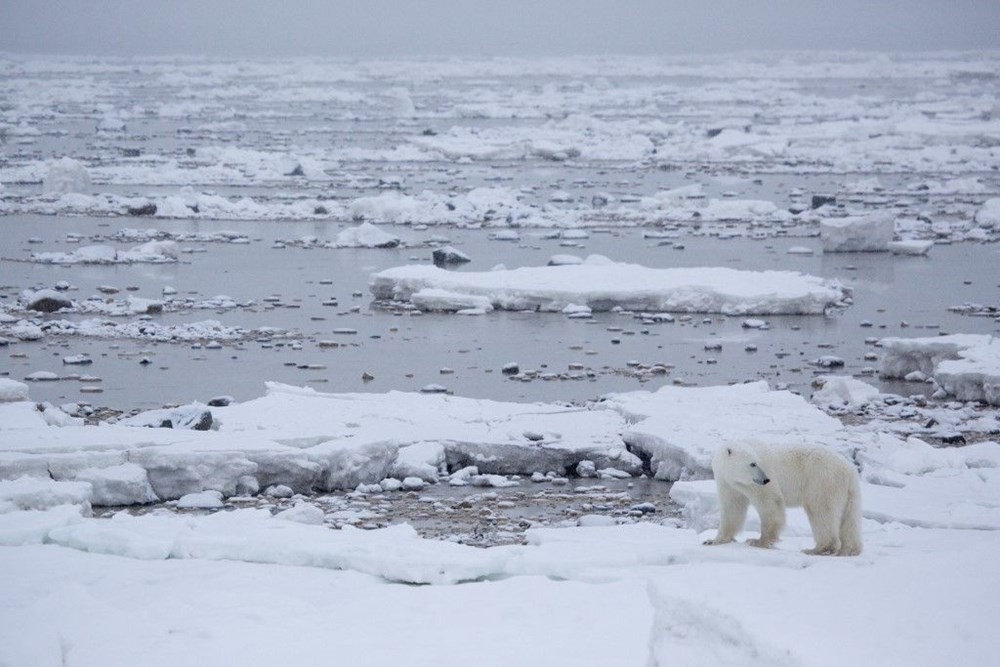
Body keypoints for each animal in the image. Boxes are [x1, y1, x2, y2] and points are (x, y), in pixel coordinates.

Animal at [704, 440, 860, 556]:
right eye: (752, 464)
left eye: (758, 462)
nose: (766, 479)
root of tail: (850, 470)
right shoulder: (728, 484)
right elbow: (732, 509)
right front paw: (713, 541)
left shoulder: (756, 483)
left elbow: (770, 502)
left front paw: (758, 541)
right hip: (847, 492)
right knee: (849, 519)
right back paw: (849, 550)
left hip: (822, 480)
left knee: (820, 511)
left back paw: (817, 549)